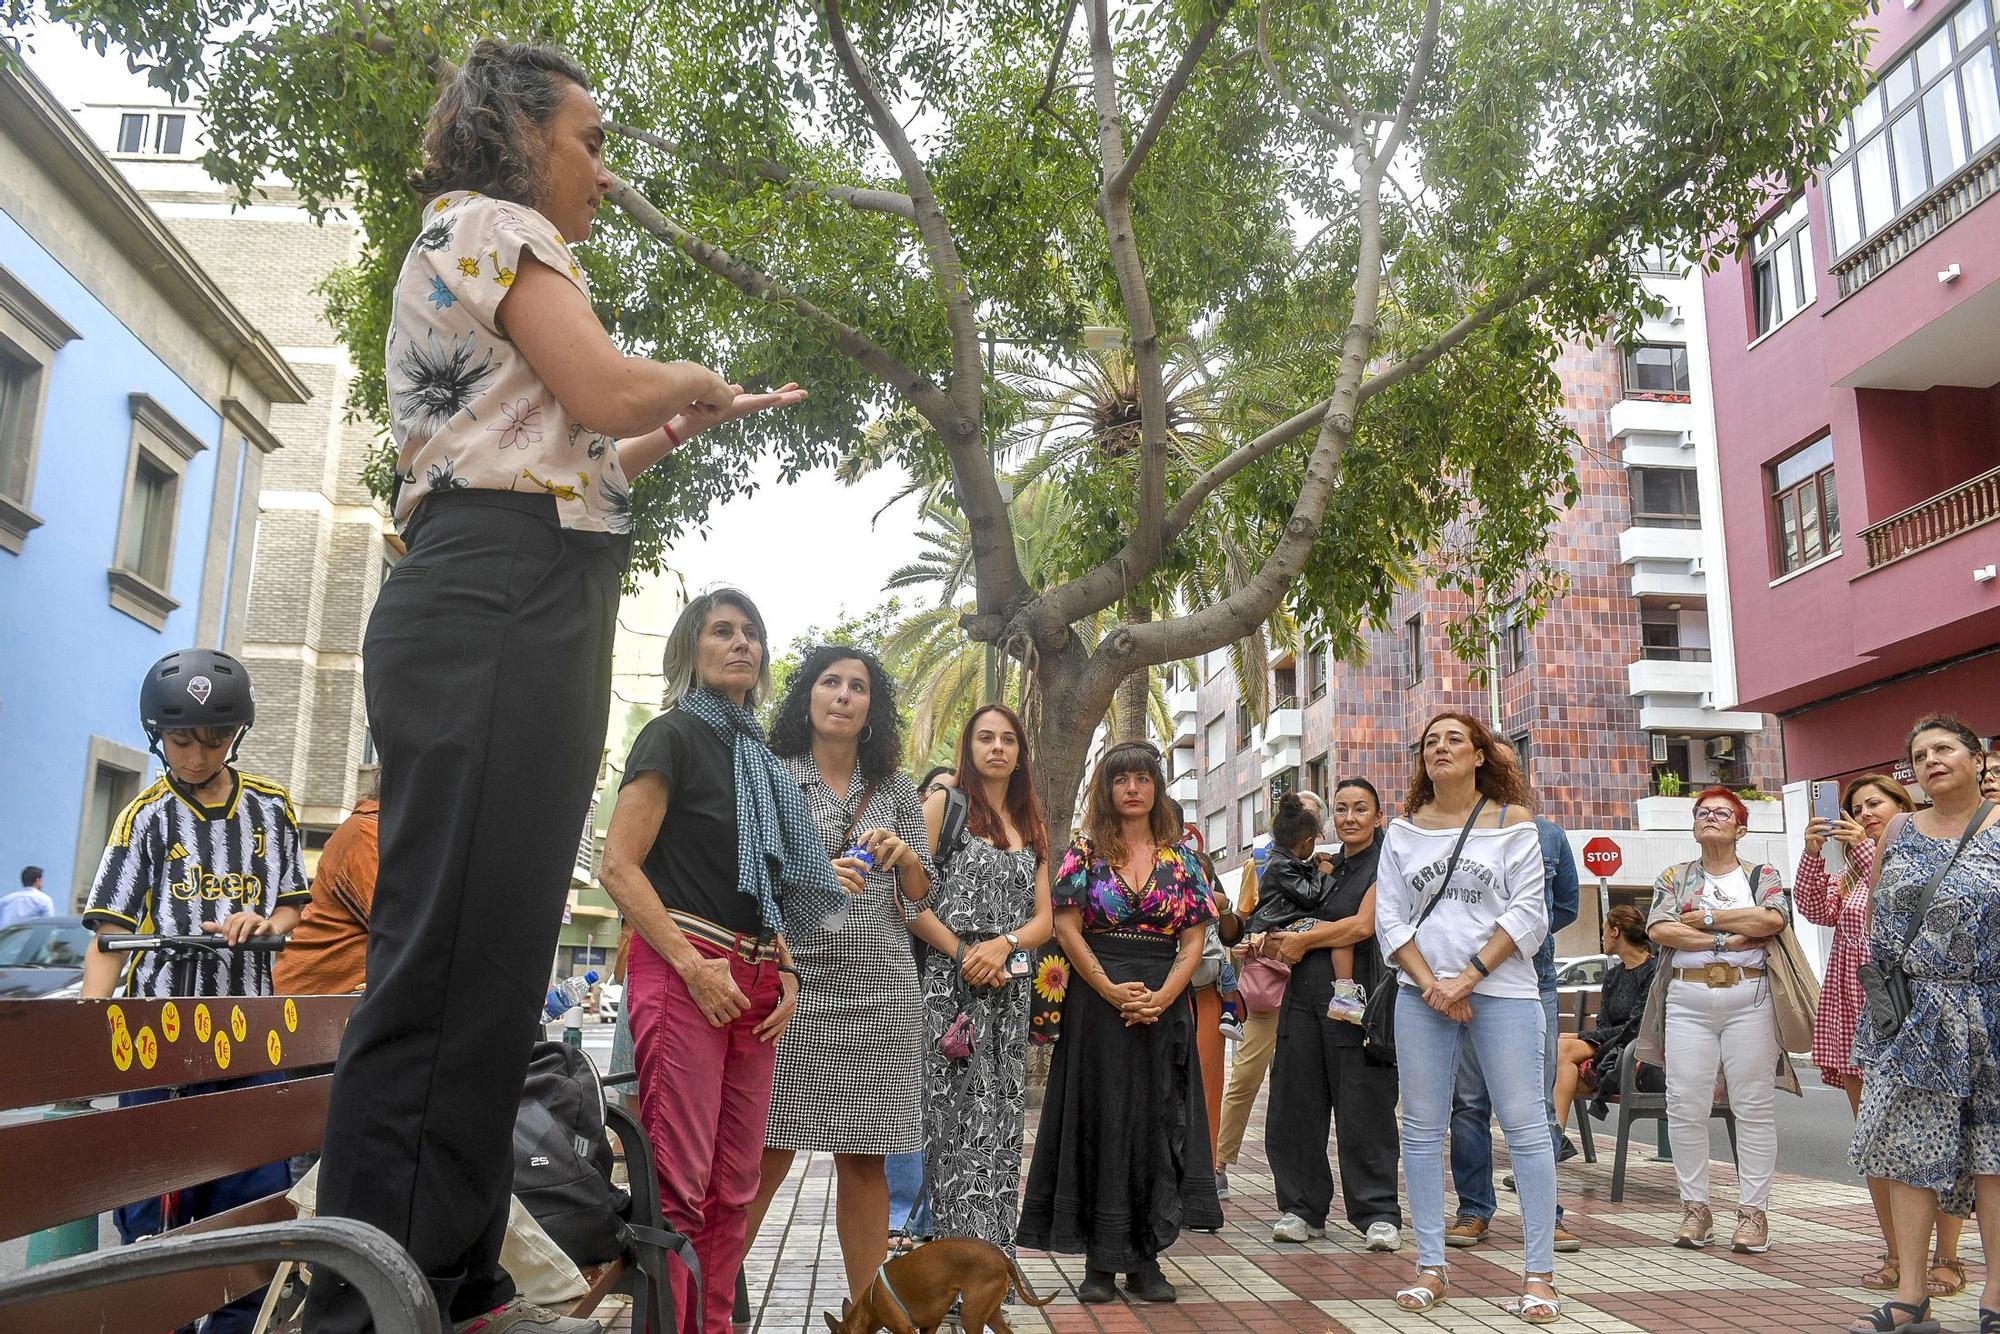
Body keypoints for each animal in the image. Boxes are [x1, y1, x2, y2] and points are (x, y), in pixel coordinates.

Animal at [820, 1240, 1064, 1328]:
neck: (870, 1305)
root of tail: (1002, 1257)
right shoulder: (930, 1325)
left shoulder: (903, 1329)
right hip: (990, 1313)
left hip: (971, 1316)